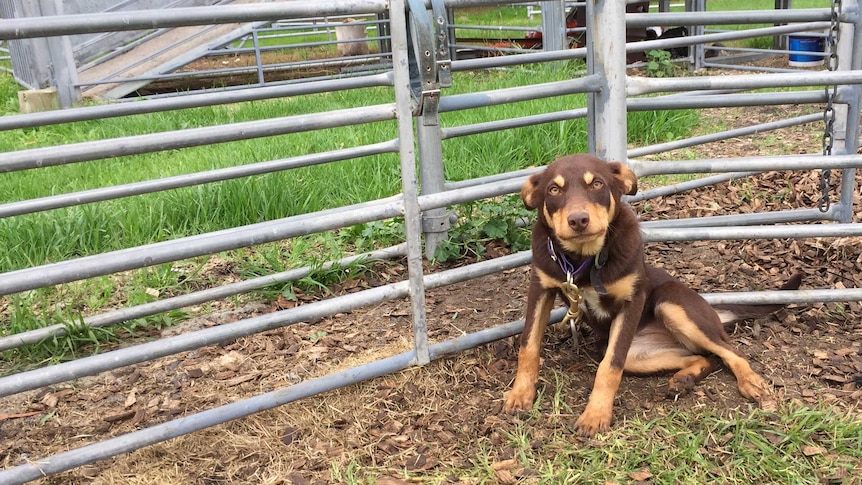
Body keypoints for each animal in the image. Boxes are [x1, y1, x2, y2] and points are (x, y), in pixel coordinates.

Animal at [502, 154, 800, 434]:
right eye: (554, 190)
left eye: (597, 184)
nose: (578, 220)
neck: (582, 260)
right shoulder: (541, 289)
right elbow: (528, 346)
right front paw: (520, 395)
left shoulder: (632, 301)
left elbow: (610, 367)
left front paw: (596, 415)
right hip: (638, 355)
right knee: (704, 357)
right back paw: (683, 379)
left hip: (670, 303)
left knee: (730, 350)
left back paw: (750, 381)